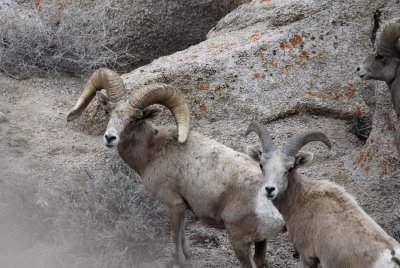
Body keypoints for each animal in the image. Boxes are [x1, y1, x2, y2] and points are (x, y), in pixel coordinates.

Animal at [66, 69, 284, 268]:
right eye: (108, 112)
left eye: (134, 119)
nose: (110, 138)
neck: (153, 151)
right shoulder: (182, 207)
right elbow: (182, 236)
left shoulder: (174, 205)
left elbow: (175, 236)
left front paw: (180, 261)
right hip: (260, 241)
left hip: (239, 241)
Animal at [245, 122, 398, 266]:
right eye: (261, 165)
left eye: (290, 168)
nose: (270, 189)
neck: (302, 201)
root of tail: (392, 257)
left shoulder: (308, 257)